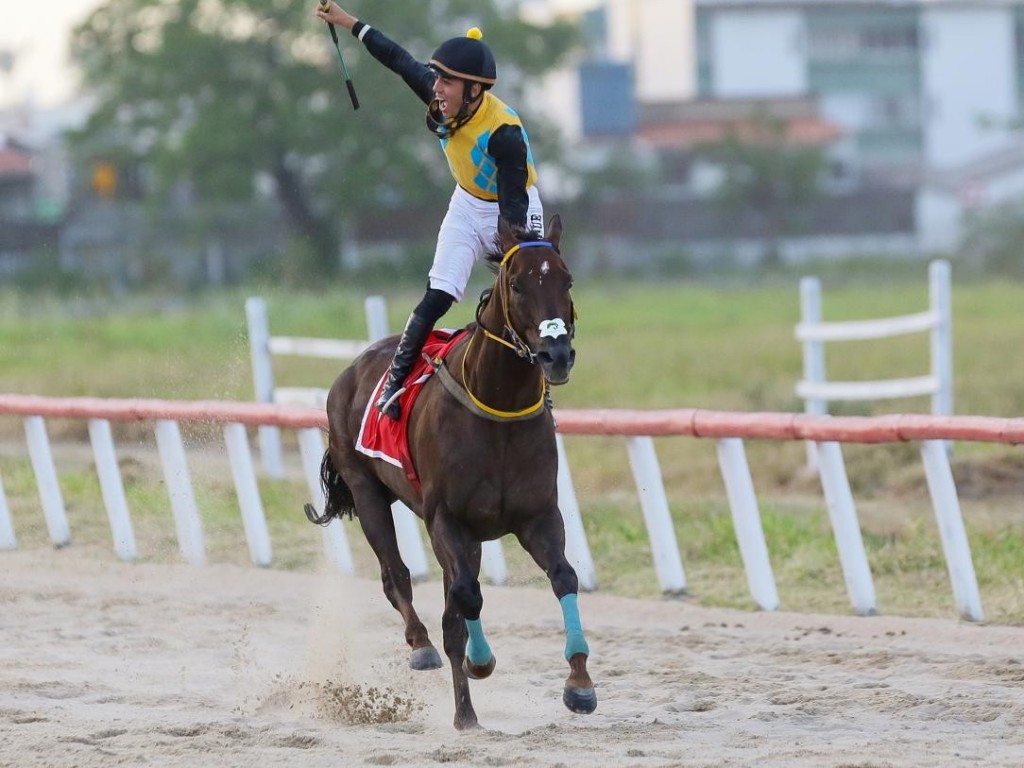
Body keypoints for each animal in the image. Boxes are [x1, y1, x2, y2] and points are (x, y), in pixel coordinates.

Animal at [301, 215, 593, 729]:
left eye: (567, 280)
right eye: (517, 285)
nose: (556, 356)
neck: (498, 407)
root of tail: (352, 368)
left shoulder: (537, 516)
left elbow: (563, 577)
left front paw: (579, 681)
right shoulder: (447, 521)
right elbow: (466, 597)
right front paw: (480, 661)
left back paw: (465, 713)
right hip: (367, 489)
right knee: (396, 575)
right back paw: (424, 652)